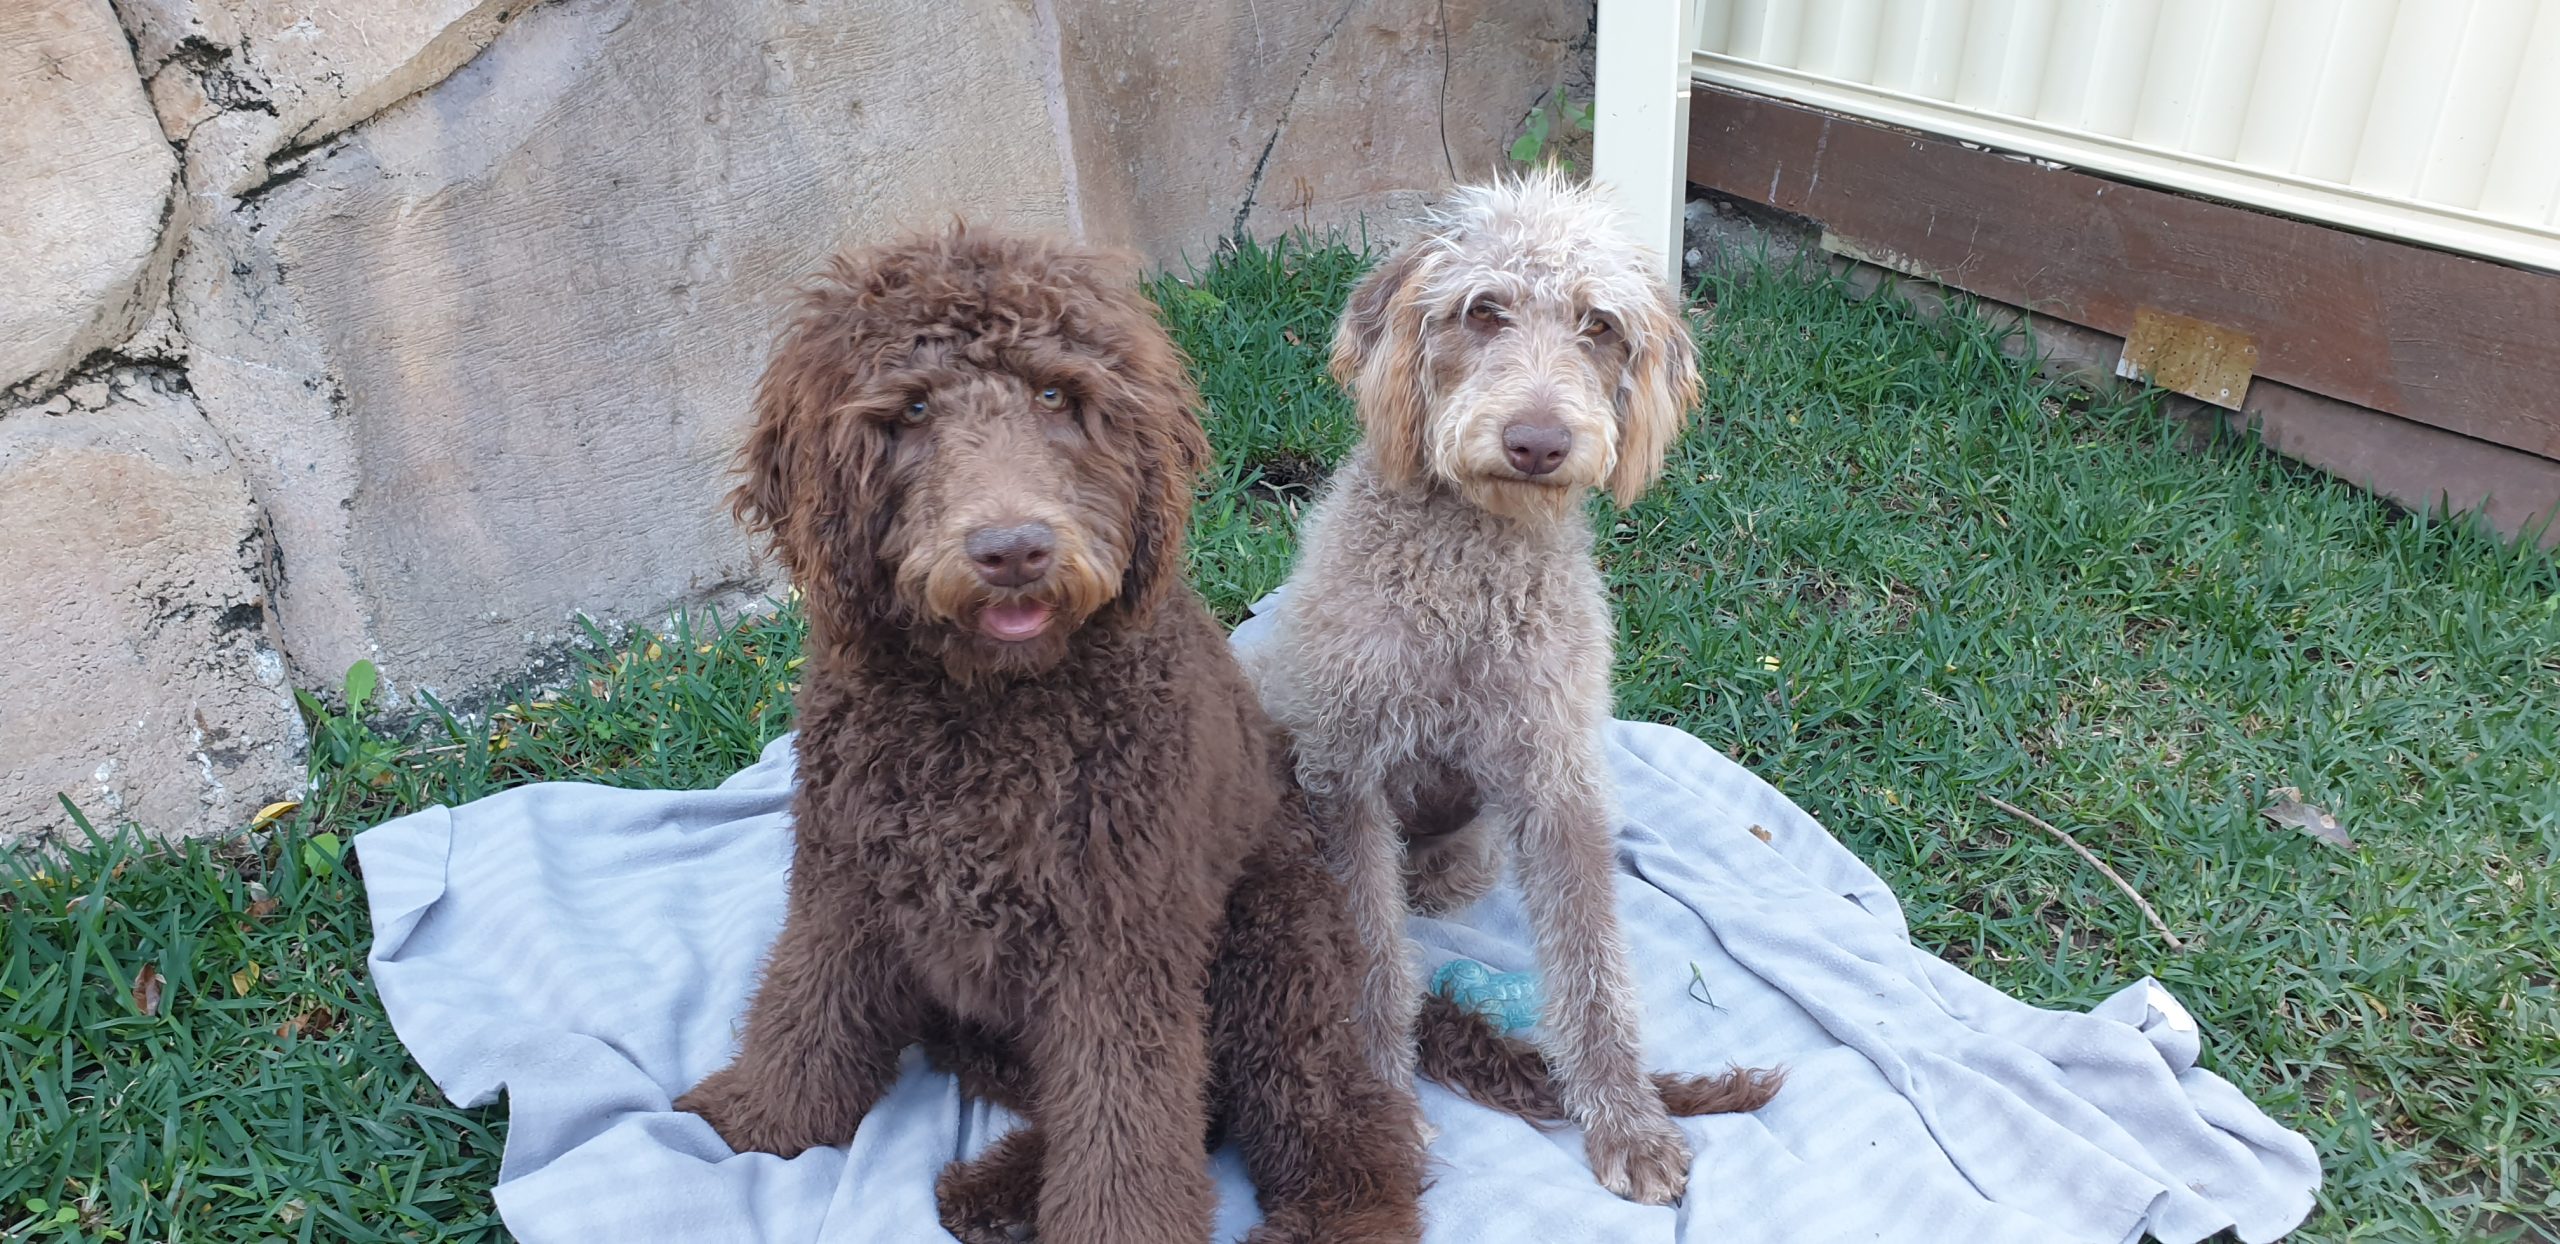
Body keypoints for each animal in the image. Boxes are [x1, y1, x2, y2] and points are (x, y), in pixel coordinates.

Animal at [1249, 175, 1771, 1203]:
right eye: (1482, 310)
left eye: (1600, 326)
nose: (1537, 442)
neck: (1468, 573)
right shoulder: (1343, 778)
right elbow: (1369, 959)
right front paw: (1382, 1108)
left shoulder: (1557, 778)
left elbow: (1593, 963)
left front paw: (1627, 1123)